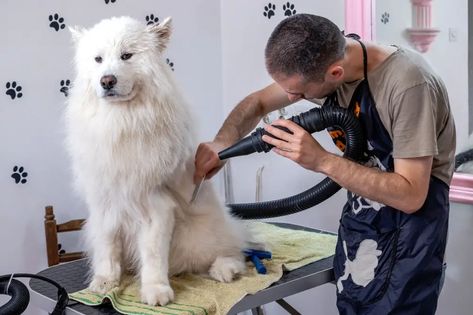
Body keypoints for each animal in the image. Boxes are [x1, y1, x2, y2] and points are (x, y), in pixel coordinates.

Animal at [65, 16, 247, 306]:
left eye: (126, 56)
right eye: (98, 59)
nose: (107, 80)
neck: (121, 122)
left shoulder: (154, 207)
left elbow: (152, 256)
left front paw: (156, 291)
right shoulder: (105, 204)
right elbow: (107, 248)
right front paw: (105, 282)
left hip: (202, 237)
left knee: (236, 250)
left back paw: (224, 269)